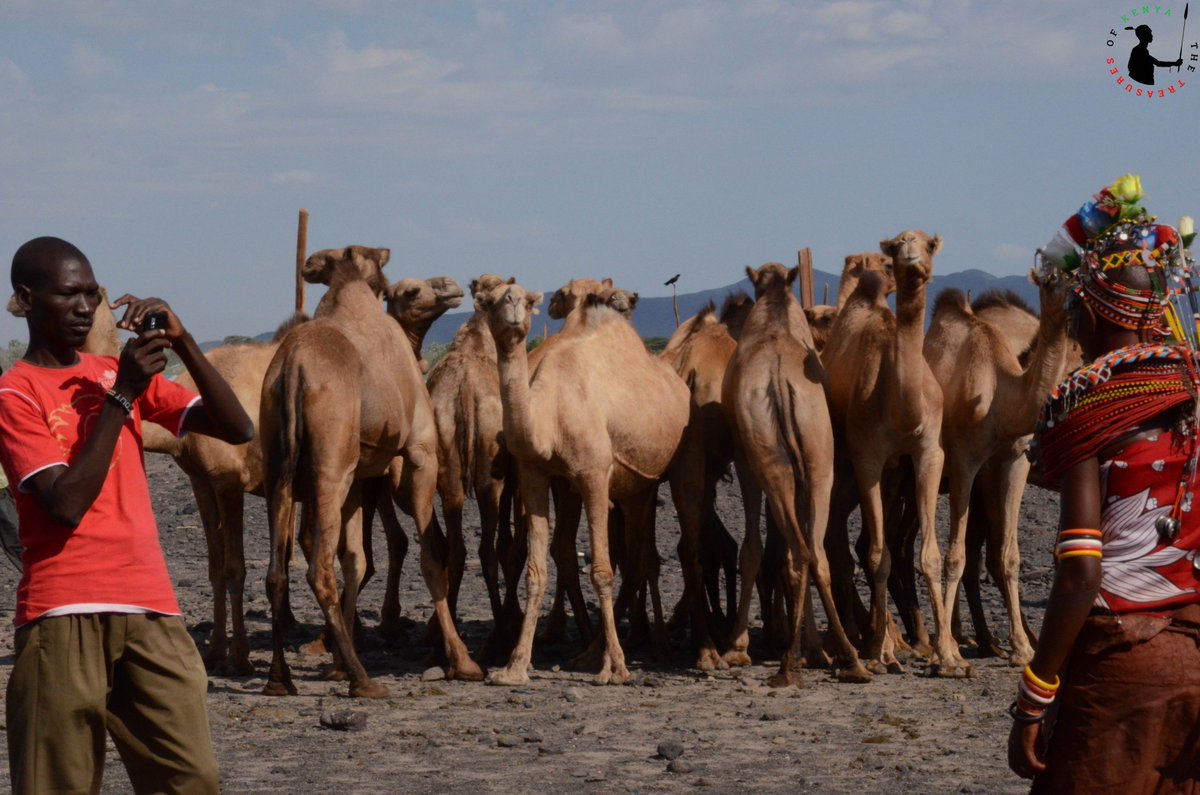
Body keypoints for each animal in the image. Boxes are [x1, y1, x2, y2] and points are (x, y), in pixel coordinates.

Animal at [260, 245, 480, 698]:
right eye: (410, 290)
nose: (452, 285)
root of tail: (292, 368)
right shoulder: (419, 452)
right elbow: (429, 556)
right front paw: (463, 661)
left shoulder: (362, 477)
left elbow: (357, 559)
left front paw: (336, 665)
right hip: (331, 470)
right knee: (319, 568)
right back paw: (363, 681)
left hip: (281, 472)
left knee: (278, 571)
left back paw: (280, 678)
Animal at [477, 281, 695, 685]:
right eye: (490, 299)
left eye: (524, 299)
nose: (513, 303)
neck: (549, 415)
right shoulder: (535, 474)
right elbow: (536, 572)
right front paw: (513, 668)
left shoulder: (593, 474)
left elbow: (602, 571)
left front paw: (618, 668)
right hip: (632, 486)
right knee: (636, 556)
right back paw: (595, 651)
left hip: (655, 479)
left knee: (642, 558)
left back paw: (641, 648)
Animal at [821, 231, 961, 675]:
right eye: (898, 244)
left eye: (930, 244)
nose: (912, 259)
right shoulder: (867, 459)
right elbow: (879, 554)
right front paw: (880, 653)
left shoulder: (928, 454)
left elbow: (928, 555)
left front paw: (948, 655)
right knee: (848, 542)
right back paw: (862, 642)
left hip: (896, 474)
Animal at [922, 273, 1071, 666]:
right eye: (1048, 282)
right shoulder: (963, 461)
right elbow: (956, 556)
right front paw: (946, 654)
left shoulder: (1013, 461)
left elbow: (1007, 556)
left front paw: (1021, 647)